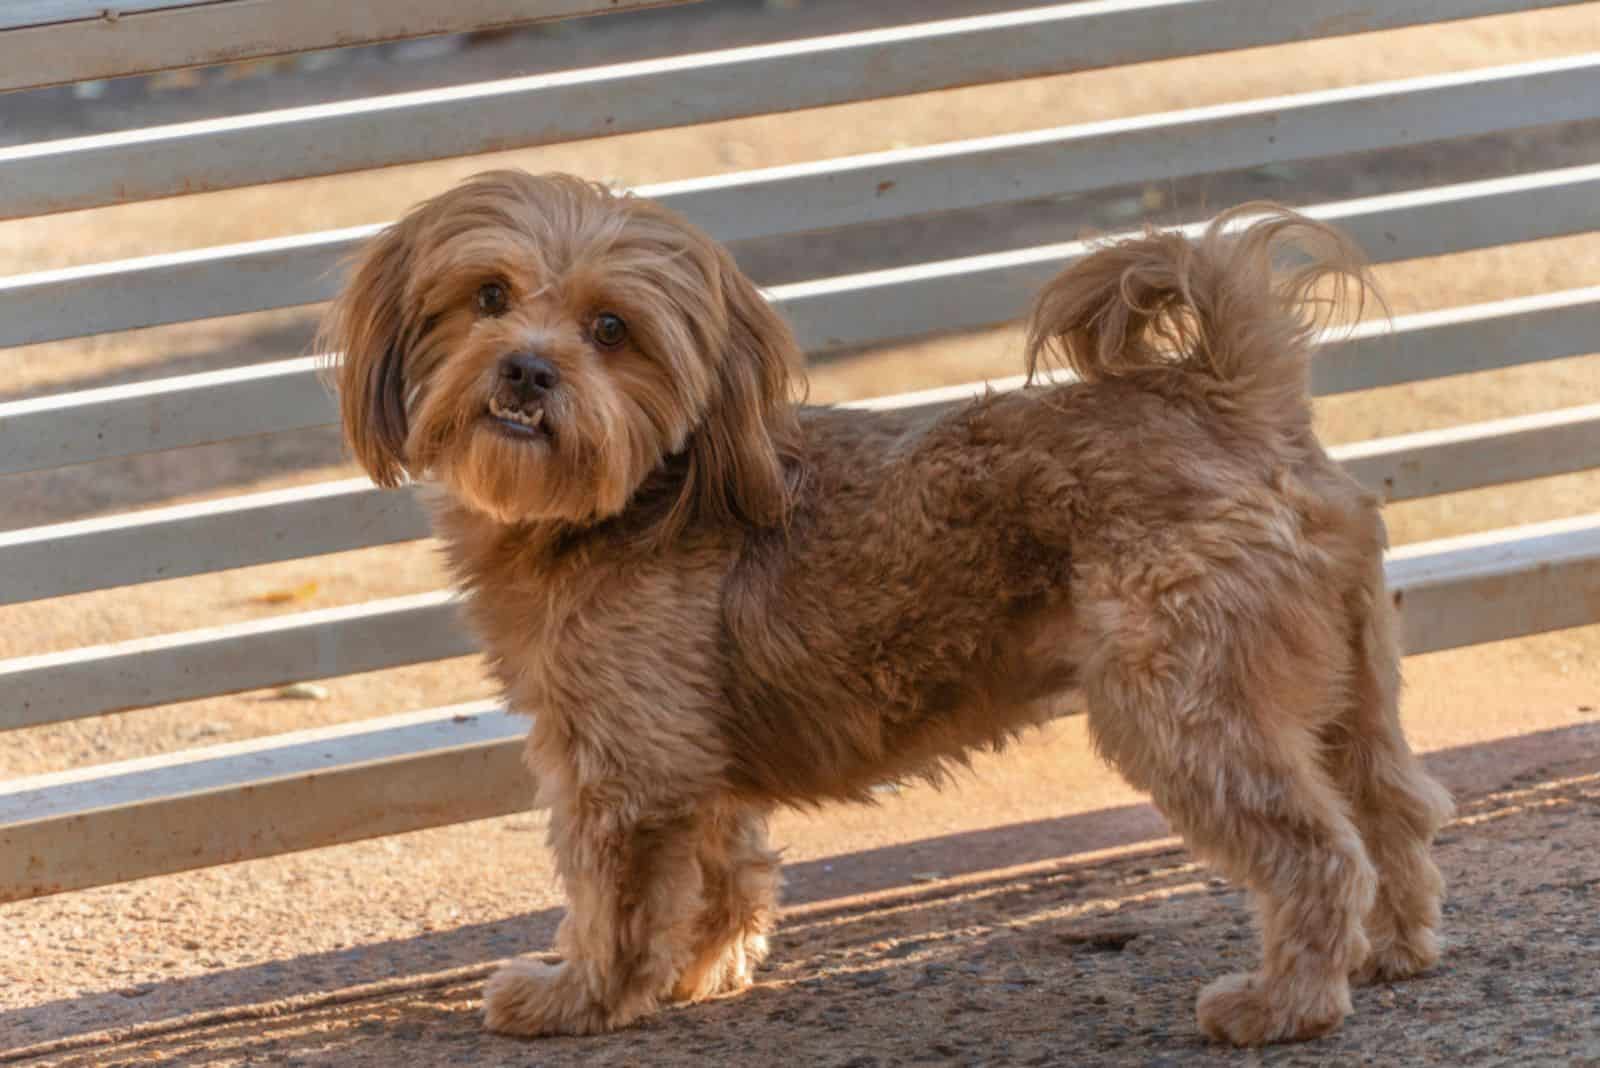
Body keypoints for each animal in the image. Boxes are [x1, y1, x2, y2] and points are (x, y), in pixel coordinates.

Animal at [321, 171, 1452, 1048]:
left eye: (612, 329)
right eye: (487, 296)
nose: (525, 367)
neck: (636, 496)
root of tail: (1232, 399)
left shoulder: (626, 766)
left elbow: (618, 899)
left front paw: (579, 997)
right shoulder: (693, 756)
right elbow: (726, 868)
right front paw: (702, 969)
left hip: (1184, 708)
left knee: (1314, 852)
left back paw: (1286, 1003)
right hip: (1347, 691)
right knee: (1390, 811)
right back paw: (1389, 951)